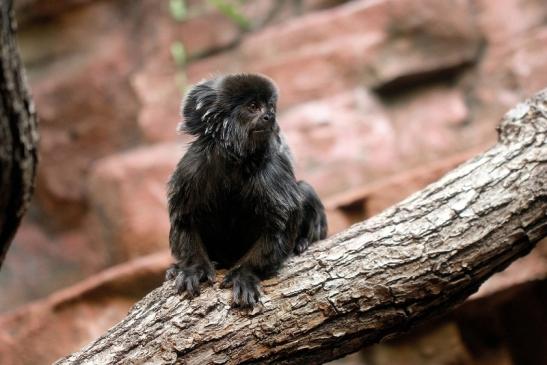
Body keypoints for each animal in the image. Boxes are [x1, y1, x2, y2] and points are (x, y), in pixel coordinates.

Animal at [165, 74, 328, 308]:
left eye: (271, 107)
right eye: (253, 107)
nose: (270, 117)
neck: (235, 160)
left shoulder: (272, 172)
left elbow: (278, 225)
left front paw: (245, 274)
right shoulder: (192, 167)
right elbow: (185, 218)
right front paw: (193, 268)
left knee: (304, 190)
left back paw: (303, 241)